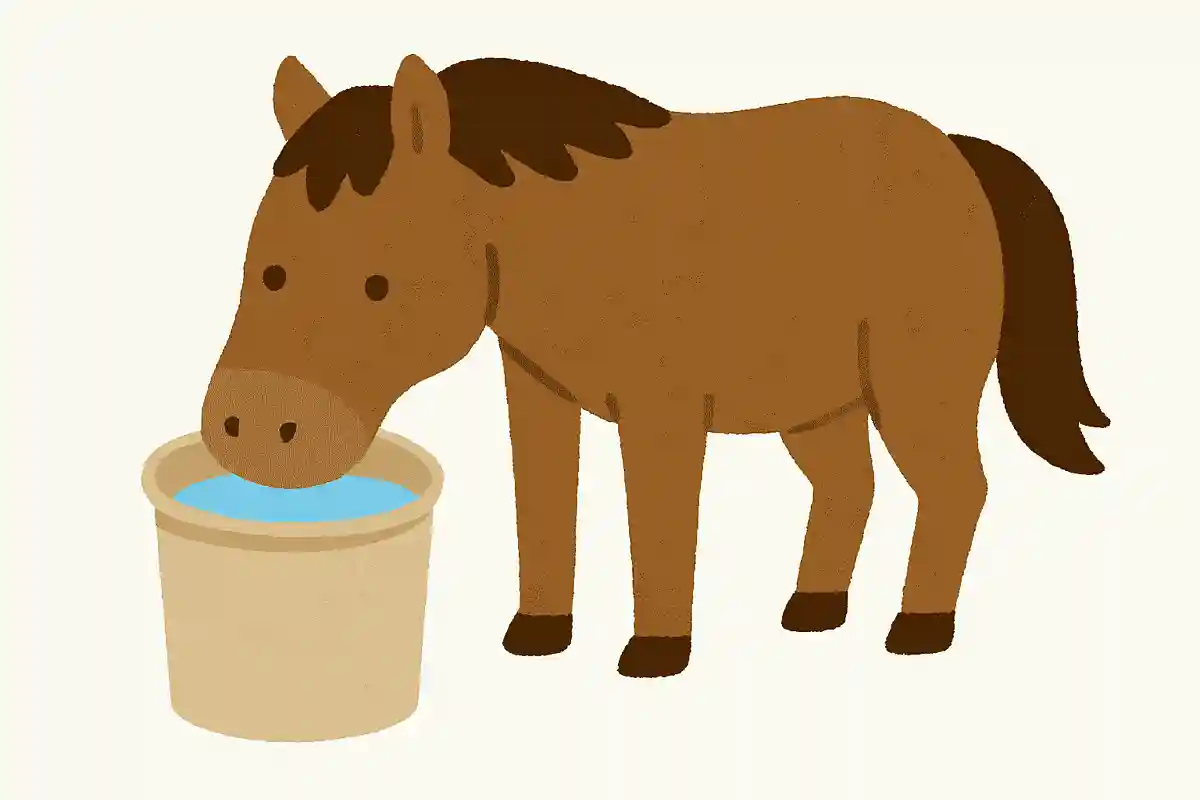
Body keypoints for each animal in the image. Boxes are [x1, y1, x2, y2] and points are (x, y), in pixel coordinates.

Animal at [200, 54, 1109, 678]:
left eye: (378, 283)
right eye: (262, 268)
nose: (252, 429)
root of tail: (955, 150)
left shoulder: (663, 407)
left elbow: (658, 519)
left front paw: (655, 652)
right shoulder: (537, 390)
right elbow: (543, 504)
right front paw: (539, 636)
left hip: (915, 385)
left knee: (957, 489)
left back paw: (919, 629)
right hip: (818, 401)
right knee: (852, 486)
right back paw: (815, 610)